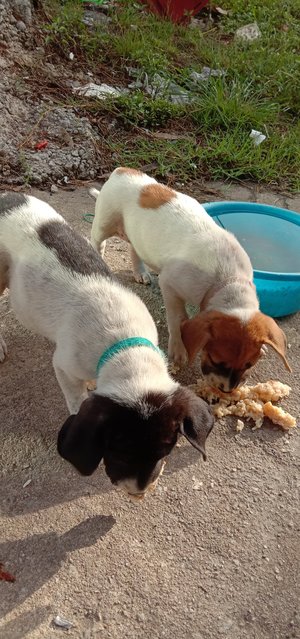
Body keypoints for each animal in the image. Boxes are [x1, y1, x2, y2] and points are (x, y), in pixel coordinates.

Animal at [89, 168, 290, 392]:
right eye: (217, 360)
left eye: (249, 365)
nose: (226, 390)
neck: (228, 280)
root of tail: (121, 170)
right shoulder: (169, 284)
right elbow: (177, 318)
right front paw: (178, 348)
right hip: (105, 221)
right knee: (97, 240)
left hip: (135, 234)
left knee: (135, 248)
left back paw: (140, 272)